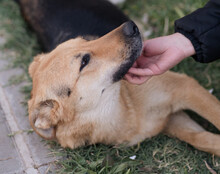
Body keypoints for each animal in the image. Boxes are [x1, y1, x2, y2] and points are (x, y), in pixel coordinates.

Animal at [17, 0, 220, 156]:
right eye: (84, 61)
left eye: (85, 39)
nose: (131, 26)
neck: (123, 108)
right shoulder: (171, 119)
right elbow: (202, 138)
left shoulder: (185, 87)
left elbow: (215, 116)